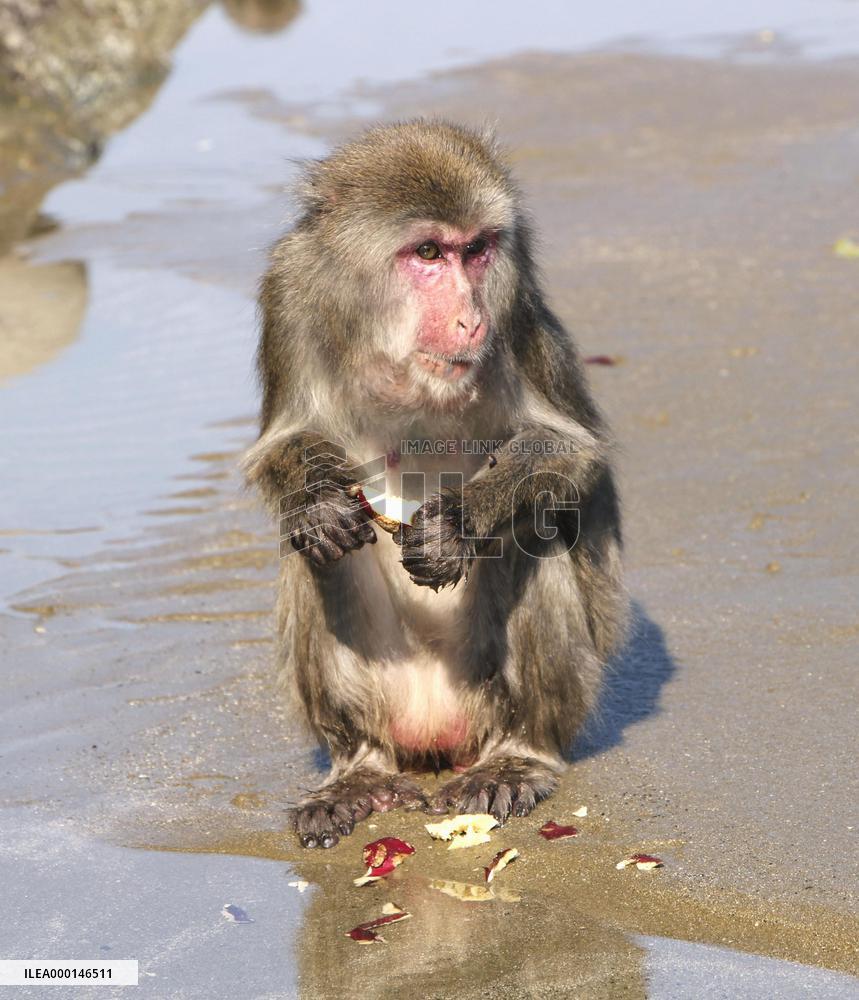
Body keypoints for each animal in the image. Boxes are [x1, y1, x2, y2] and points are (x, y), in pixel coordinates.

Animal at [243, 120, 627, 848]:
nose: (470, 320)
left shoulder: (514, 306)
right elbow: (279, 446)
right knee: (316, 559)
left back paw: (516, 757)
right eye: (428, 252)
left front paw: (457, 526)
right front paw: (316, 508)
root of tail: (433, 738)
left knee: (534, 534)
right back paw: (358, 768)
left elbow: (573, 453)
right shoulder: (289, 292)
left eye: (475, 251)